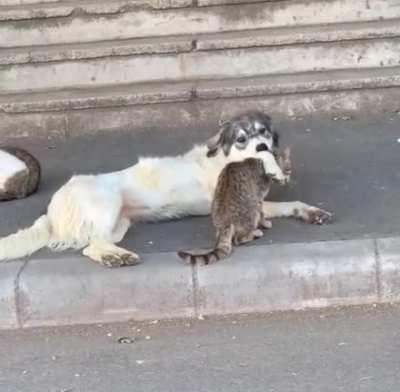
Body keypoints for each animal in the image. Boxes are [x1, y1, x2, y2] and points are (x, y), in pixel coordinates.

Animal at [0, 112, 332, 268]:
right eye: (241, 139)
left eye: (263, 132)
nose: (263, 145)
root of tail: (53, 206)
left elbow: (292, 203)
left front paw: (311, 212)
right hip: (107, 204)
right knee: (90, 246)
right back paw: (118, 259)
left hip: (120, 223)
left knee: (94, 244)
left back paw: (115, 256)